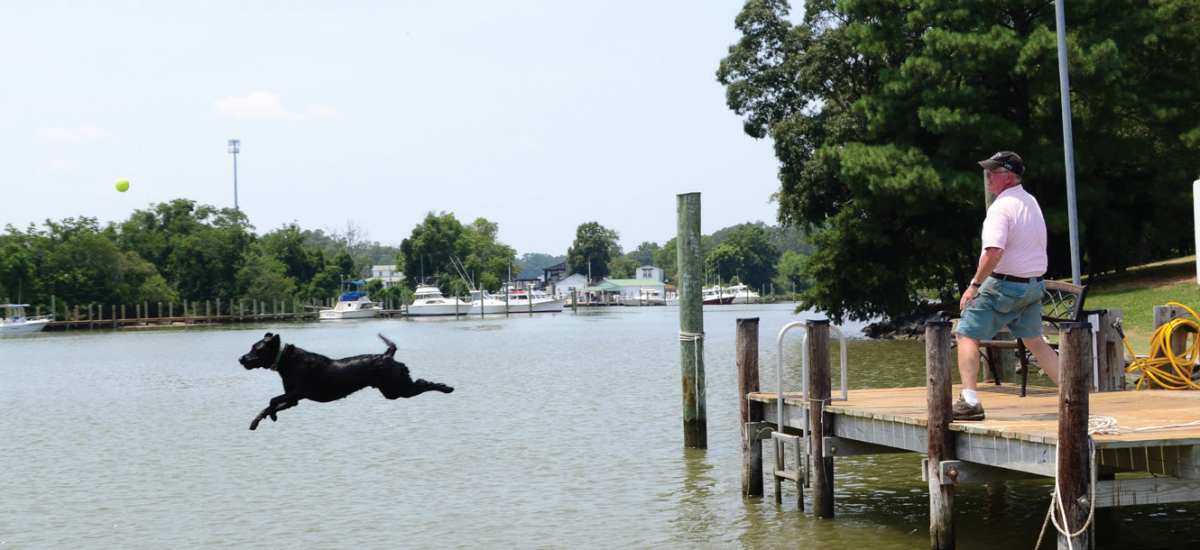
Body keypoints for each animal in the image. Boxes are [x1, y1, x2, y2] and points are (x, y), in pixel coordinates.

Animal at [238, 331, 453, 429]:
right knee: (420, 383)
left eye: (256, 349)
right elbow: (270, 404)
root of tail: (387, 355)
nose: (241, 359)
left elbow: (272, 400)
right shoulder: (294, 400)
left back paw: (446, 387)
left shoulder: (298, 392)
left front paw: (272, 415)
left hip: (398, 388)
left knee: (424, 384)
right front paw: (257, 421)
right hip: (392, 391)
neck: (287, 361)